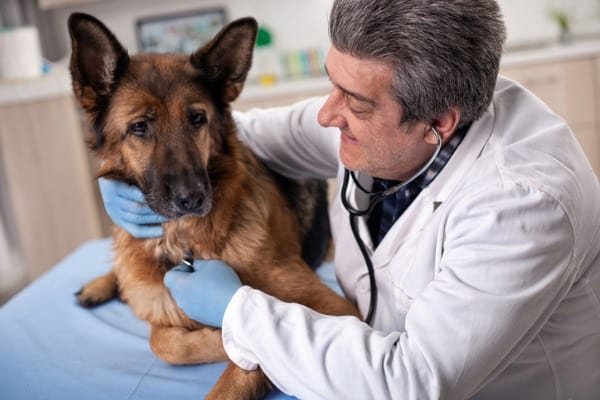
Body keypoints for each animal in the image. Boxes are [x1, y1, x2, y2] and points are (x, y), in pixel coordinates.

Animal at [69, 12, 360, 400]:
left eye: (197, 119)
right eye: (140, 127)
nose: (192, 198)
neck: (183, 241)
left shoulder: (335, 308)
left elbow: (249, 343)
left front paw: (228, 340)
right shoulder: (160, 304)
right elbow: (163, 342)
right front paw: (216, 338)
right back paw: (98, 286)